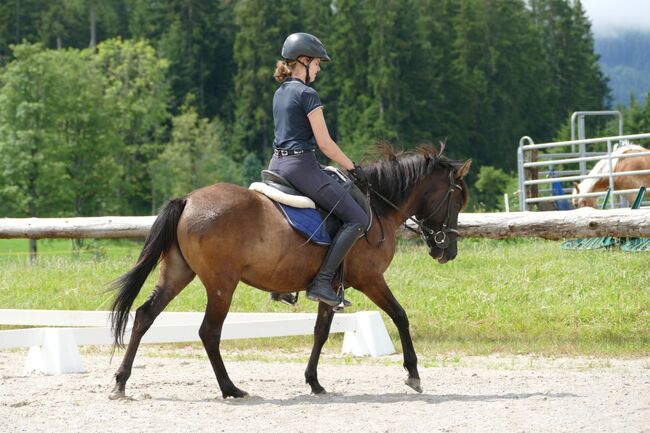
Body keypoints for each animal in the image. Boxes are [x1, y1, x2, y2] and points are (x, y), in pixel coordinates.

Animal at [109, 144, 468, 398]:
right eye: (458, 201)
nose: (447, 251)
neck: (378, 207)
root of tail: (187, 200)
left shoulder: (330, 287)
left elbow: (321, 331)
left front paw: (314, 382)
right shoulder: (370, 279)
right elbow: (400, 315)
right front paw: (413, 374)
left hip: (177, 273)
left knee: (144, 316)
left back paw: (121, 383)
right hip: (222, 284)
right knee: (208, 331)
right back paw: (230, 388)